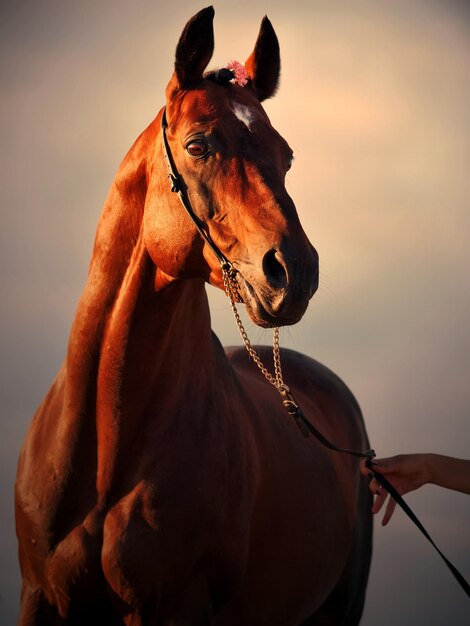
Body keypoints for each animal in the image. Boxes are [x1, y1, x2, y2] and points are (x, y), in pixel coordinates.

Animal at [15, 6, 370, 624]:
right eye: (199, 145)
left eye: (287, 156)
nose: (295, 271)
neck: (105, 454)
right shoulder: (37, 596)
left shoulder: (176, 605)